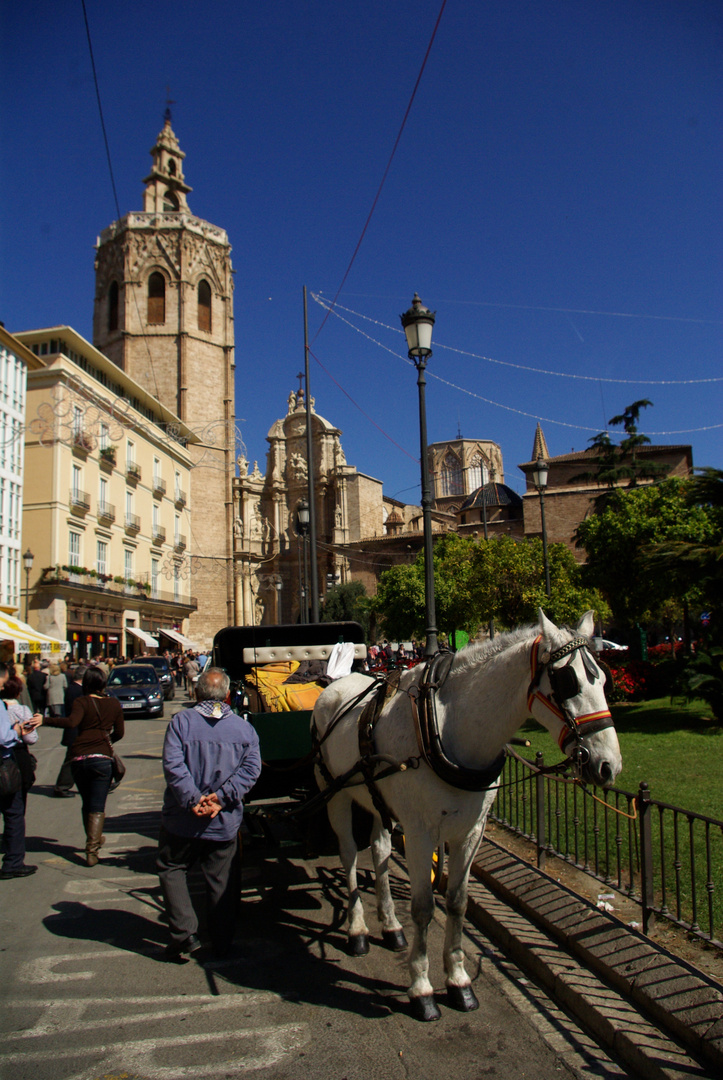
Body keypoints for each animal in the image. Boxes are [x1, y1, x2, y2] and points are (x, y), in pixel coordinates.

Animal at [313, 617, 622, 1019]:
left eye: (603, 679)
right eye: (567, 681)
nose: (608, 765)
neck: (448, 728)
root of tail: (335, 684)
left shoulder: (472, 831)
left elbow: (458, 902)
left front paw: (458, 980)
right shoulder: (420, 832)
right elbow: (423, 907)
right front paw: (422, 988)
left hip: (377, 795)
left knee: (379, 849)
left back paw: (391, 926)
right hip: (333, 791)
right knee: (350, 853)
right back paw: (357, 929)